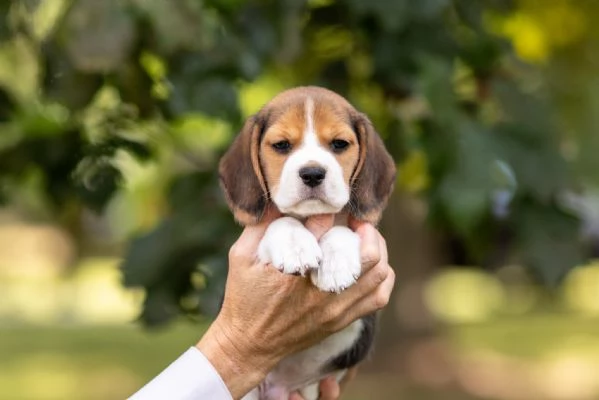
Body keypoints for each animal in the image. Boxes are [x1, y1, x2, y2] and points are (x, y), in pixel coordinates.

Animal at [218, 86, 396, 400]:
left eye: (339, 144)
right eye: (281, 145)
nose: (312, 173)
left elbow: (341, 231)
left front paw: (336, 266)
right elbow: (280, 223)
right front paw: (295, 247)